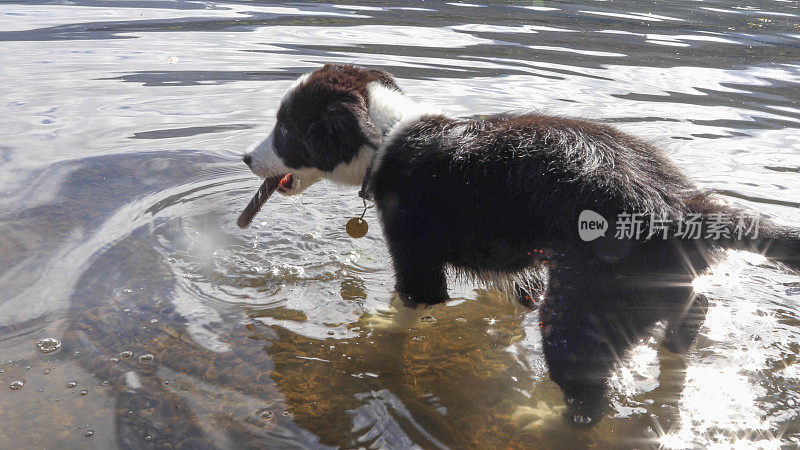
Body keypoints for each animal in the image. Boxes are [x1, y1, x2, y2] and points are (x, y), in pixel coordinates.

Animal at [239, 63, 800, 426]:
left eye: (285, 129)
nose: (245, 158)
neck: (389, 137)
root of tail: (685, 205)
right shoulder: (515, 264)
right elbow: (508, 295)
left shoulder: (416, 256)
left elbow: (407, 310)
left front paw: (375, 334)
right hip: (653, 288)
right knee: (687, 320)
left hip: (581, 311)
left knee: (589, 401)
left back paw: (536, 417)